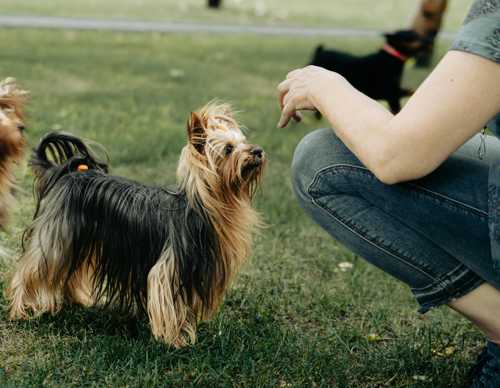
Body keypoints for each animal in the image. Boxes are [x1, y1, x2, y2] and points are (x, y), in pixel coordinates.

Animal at [7, 101, 266, 348]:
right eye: (229, 149)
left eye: (244, 142)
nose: (258, 150)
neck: (206, 206)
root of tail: (69, 173)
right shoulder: (168, 269)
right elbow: (168, 304)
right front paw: (174, 340)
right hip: (56, 237)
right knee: (30, 270)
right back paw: (20, 310)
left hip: (79, 239)